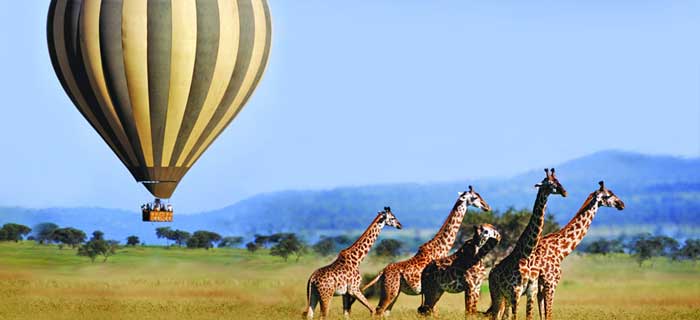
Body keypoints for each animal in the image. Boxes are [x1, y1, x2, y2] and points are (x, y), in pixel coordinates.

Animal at [358, 186, 490, 316]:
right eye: (474, 197)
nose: (487, 206)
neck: (440, 248)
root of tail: (382, 272)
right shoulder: (432, 289)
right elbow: (433, 312)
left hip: (394, 292)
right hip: (390, 292)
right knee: (378, 311)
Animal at [486, 169, 568, 318]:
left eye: (558, 180)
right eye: (549, 183)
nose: (564, 192)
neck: (527, 255)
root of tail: (491, 273)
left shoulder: (532, 291)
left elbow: (528, 316)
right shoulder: (516, 292)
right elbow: (515, 317)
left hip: (506, 298)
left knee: (504, 316)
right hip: (497, 294)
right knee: (496, 315)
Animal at [524, 181, 628, 318]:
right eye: (608, 195)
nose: (621, 204)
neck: (560, 250)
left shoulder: (540, 287)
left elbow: (543, 314)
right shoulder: (550, 283)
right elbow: (548, 314)